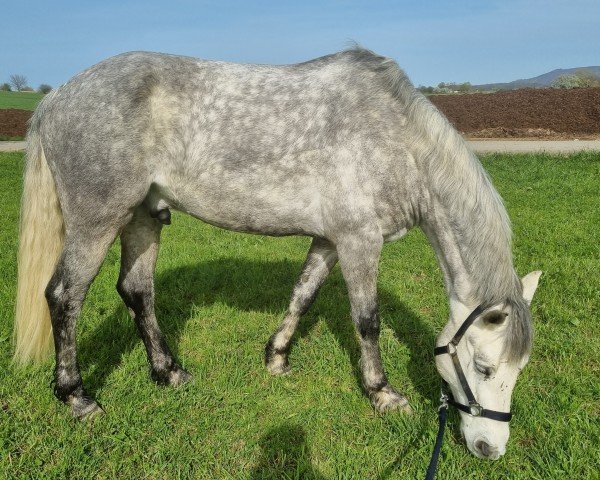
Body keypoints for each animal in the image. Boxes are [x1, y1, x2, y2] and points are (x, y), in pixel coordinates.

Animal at [14, 47, 540, 460]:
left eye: (518, 371)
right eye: (483, 367)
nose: (489, 448)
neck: (396, 140)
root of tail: (56, 97)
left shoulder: (330, 240)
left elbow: (302, 294)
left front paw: (276, 358)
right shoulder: (359, 241)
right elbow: (367, 320)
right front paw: (383, 393)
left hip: (144, 217)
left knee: (136, 291)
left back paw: (168, 373)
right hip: (97, 222)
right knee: (65, 297)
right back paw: (77, 397)